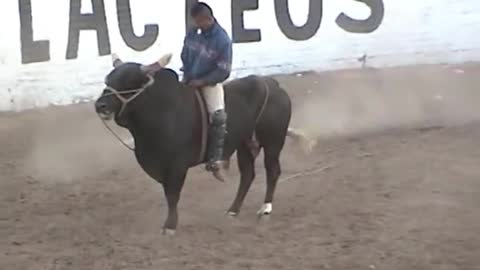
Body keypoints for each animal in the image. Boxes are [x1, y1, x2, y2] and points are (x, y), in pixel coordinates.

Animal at [94, 54, 316, 234]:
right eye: (108, 79)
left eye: (128, 81)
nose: (100, 105)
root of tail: (273, 85)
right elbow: (168, 194)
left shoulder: (176, 166)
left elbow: (172, 195)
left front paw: (170, 226)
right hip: (244, 145)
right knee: (248, 175)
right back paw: (233, 210)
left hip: (273, 141)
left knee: (272, 170)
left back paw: (266, 208)